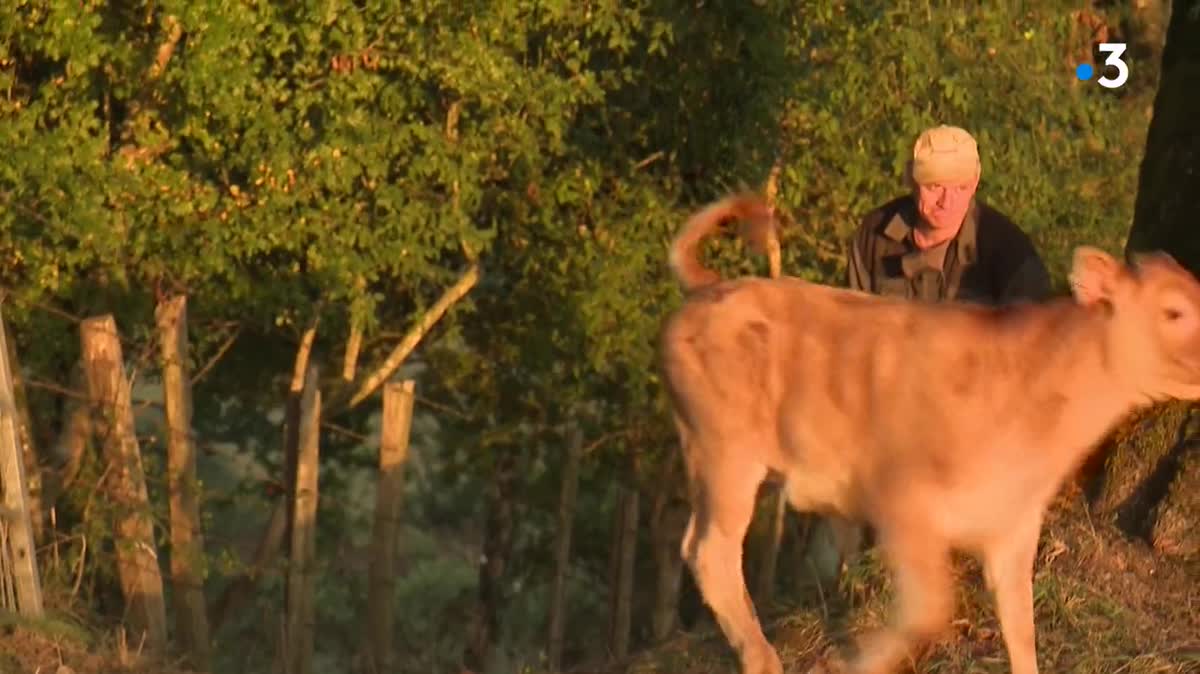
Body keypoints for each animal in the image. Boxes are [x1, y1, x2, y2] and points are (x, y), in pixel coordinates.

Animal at [662, 191, 1200, 666]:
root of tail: (712, 287)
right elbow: (930, 611)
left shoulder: (1013, 526)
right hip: (723, 451)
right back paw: (763, 658)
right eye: (1174, 310)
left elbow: (1021, 628)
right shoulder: (903, 501)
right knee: (710, 553)